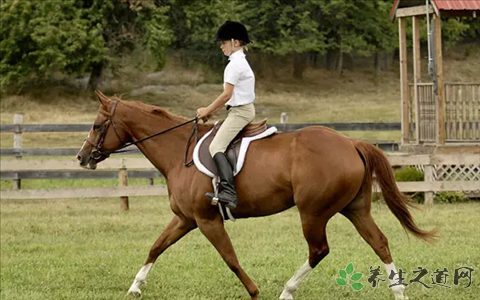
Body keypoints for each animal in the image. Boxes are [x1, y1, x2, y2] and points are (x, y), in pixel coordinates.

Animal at [76, 91, 436, 300]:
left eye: (97, 125)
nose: (82, 157)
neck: (179, 151)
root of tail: (351, 142)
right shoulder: (185, 219)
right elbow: (156, 247)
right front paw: (135, 286)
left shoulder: (206, 221)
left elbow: (230, 258)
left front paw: (254, 291)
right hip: (355, 208)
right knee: (379, 242)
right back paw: (398, 292)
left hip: (313, 212)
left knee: (319, 250)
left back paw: (287, 291)